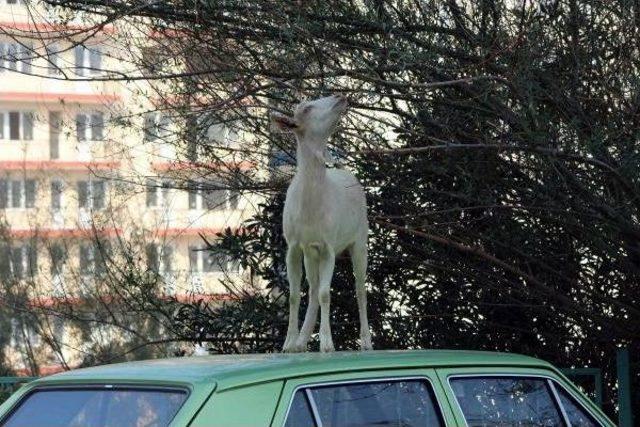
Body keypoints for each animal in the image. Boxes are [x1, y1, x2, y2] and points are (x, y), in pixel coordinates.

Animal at [272, 95, 372, 352]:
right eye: (307, 108)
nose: (340, 97)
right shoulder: (294, 246)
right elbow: (295, 294)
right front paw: (288, 343)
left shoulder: (328, 246)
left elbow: (326, 294)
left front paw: (327, 344)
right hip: (311, 253)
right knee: (313, 287)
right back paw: (301, 340)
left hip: (360, 240)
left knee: (360, 288)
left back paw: (366, 341)